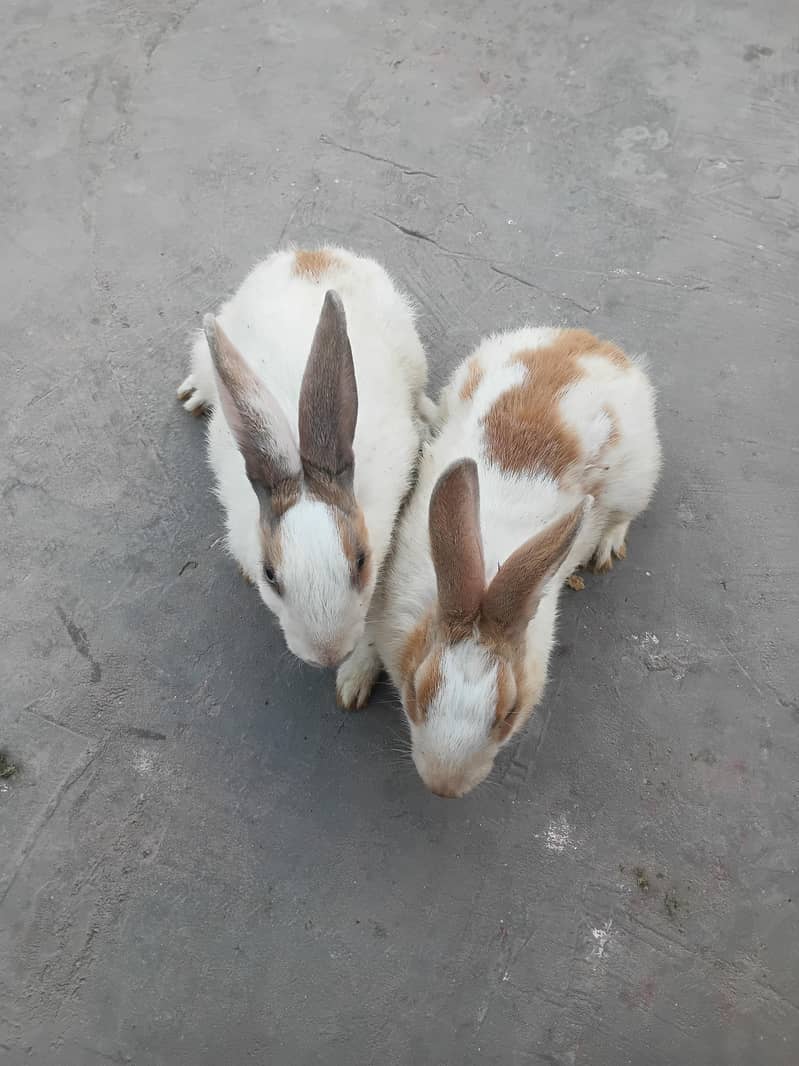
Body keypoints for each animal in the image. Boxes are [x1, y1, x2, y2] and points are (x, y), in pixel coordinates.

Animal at [177, 246, 435, 707]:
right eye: (270, 575)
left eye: (361, 560)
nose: (327, 653)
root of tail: (309, 252)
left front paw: (353, 681)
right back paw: (193, 394)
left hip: (413, 354)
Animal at [370, 326, 661, 797]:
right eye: (415, 690)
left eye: (508, 714)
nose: (443, 786)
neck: (487, 577)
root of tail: (593, 342)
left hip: (639, 480)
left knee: (624, 515)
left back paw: (606, 546)